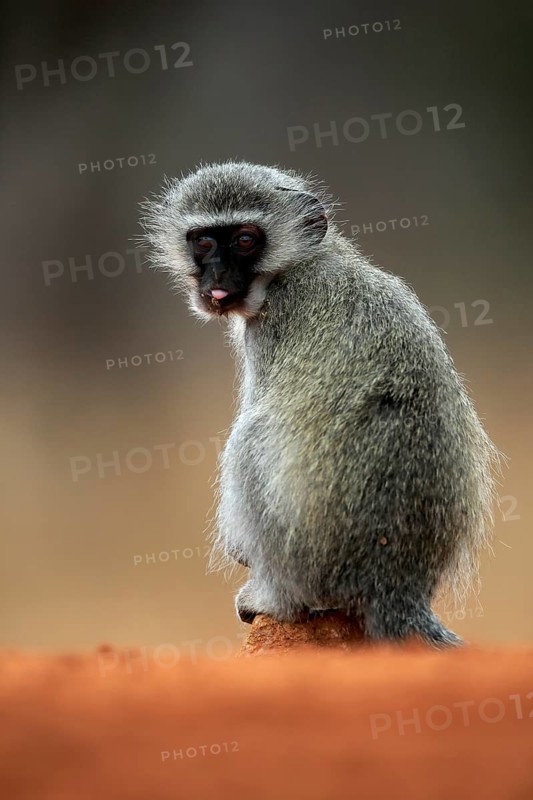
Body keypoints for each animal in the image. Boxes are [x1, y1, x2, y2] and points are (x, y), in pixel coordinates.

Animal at [141, 159, 503, 648]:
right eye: (204, 241)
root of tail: (397, 584)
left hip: (308, 564)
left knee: (252, 438)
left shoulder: (269, 329)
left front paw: (239, 550)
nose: (216, 279)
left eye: (245, 240)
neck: (301, 263)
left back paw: (275, 601)